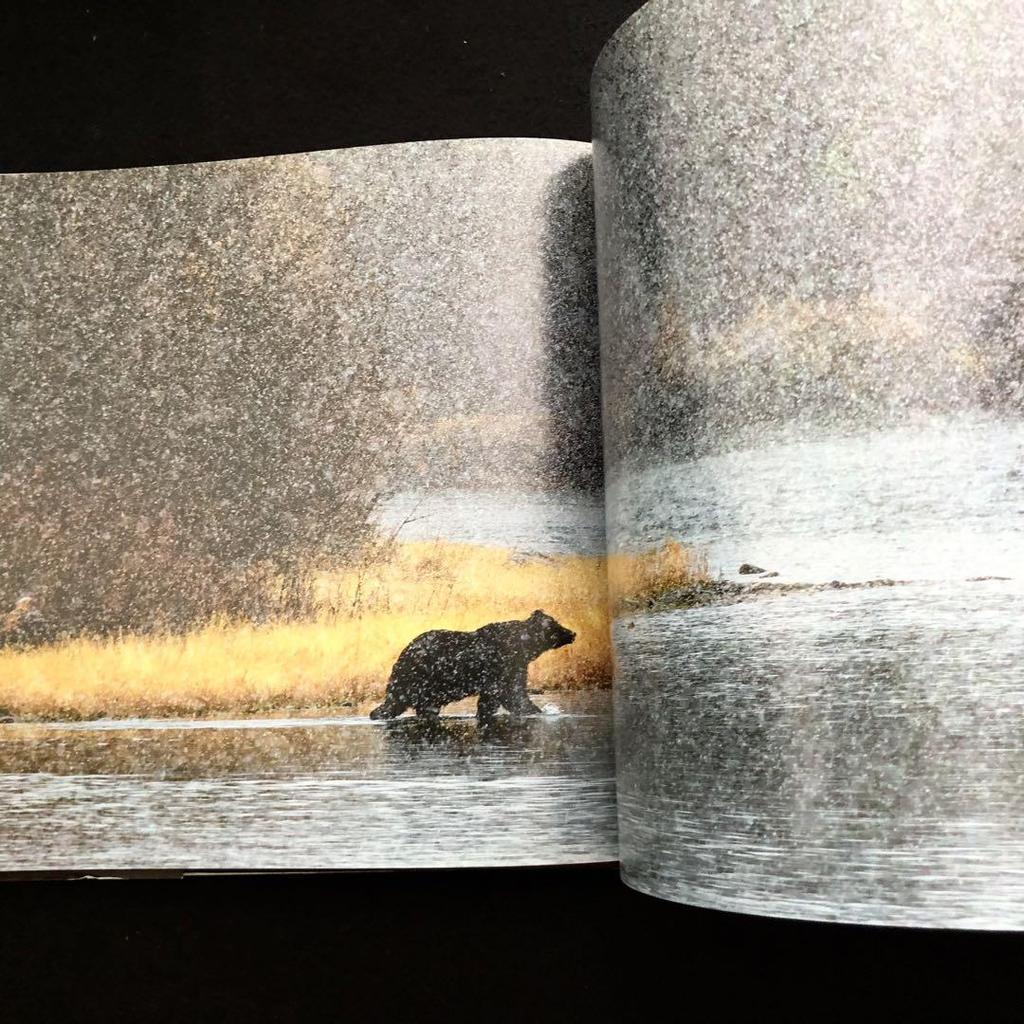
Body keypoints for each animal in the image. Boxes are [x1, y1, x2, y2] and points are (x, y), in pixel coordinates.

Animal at [369, 609, 575, 721]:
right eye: (556, 625)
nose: (572, 633)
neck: (523, 648)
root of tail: (402, 655)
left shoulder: (515, 667)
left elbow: (509, 694)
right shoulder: (503, 665)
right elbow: (509, 695)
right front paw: (537, 711)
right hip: (421, 678)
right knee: (399, 701)